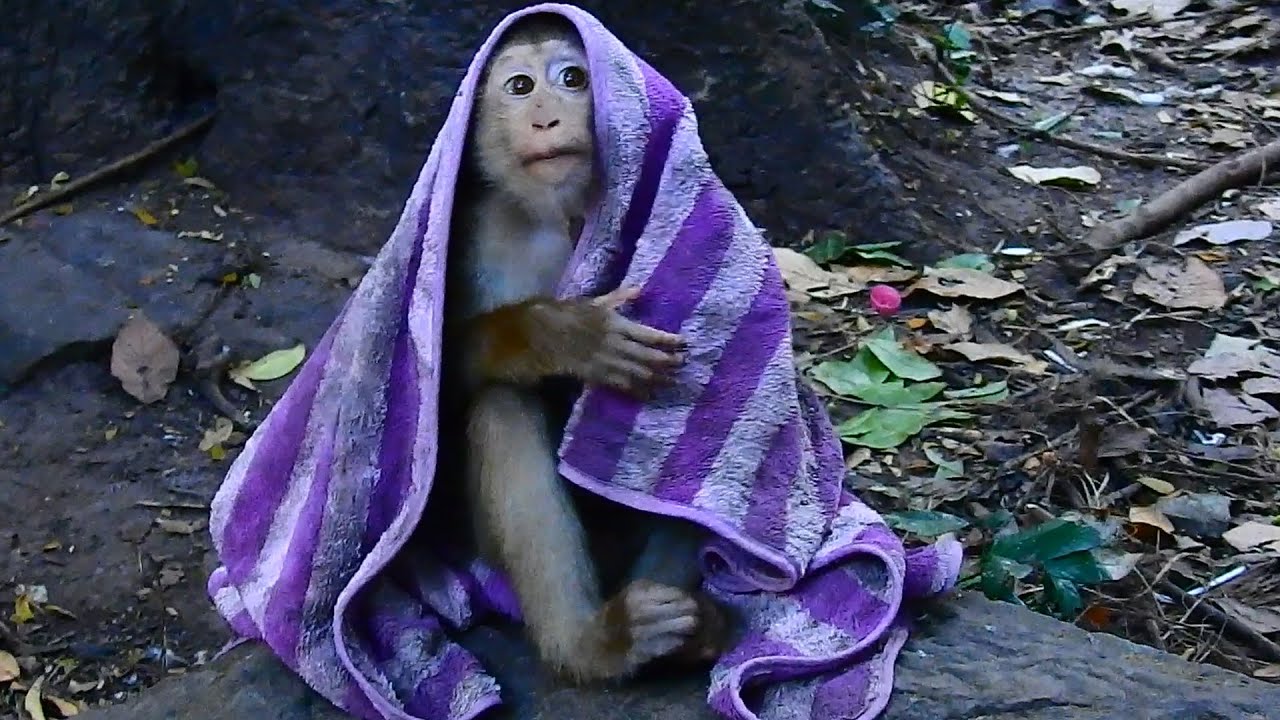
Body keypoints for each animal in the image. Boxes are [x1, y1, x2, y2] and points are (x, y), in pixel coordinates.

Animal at [438, 14, 730, 683]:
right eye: (520, 86)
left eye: (573, 78)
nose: (548, 117)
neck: (564, 219)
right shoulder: (481, 230)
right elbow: (446, 376)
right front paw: (565, 335)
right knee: (503, 407)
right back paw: (594, 645)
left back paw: (686, 631)